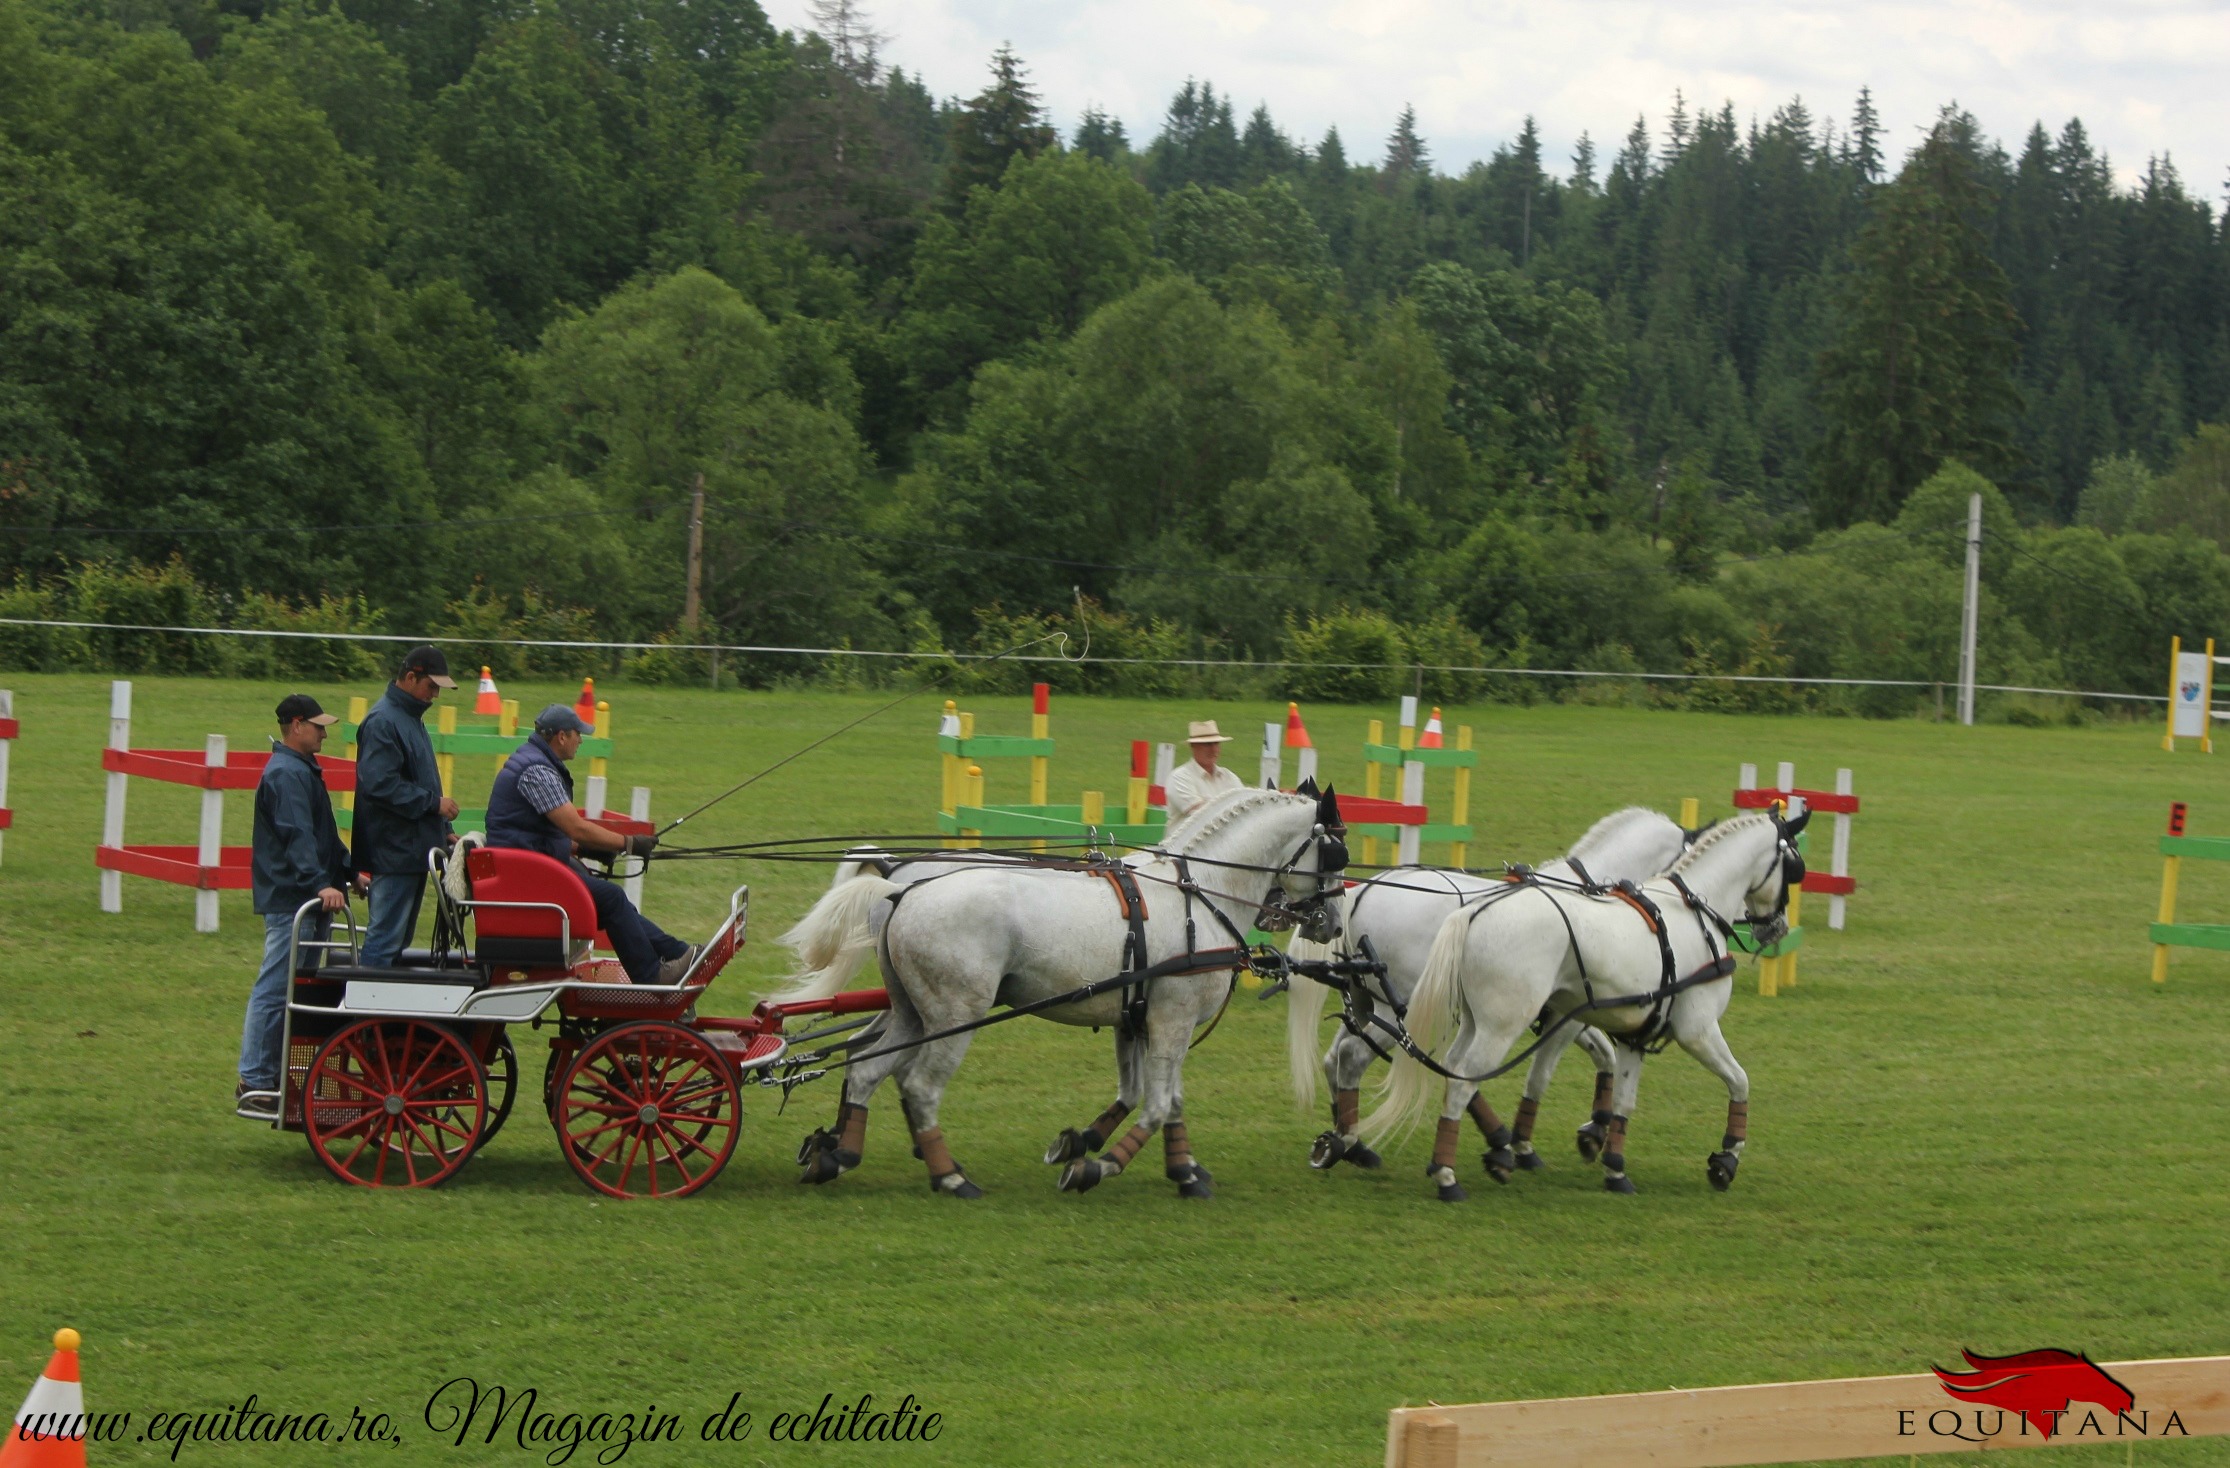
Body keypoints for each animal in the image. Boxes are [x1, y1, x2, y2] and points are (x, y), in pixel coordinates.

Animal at [784, 785, 1338, 1195]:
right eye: (1336, 851)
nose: (1330, 921)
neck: (1197, 894)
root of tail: (900, 887)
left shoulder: (1140, 1020)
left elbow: (1161, 1098)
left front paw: (1181, 1169)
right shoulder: (1173, 1021)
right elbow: (1158, 1104)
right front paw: (1095, 1166)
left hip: (911, 1011)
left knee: (866, 1064)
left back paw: (840, 1153)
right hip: (955, 1014)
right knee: (917, 1084)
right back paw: (950, 1176)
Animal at [1275, 807, 1685, 1195]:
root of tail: (1364, 892)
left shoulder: (1566, 1011)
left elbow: (1604, 1055)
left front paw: (1593, 1130)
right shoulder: (1566, 1016)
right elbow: (1556, 1069)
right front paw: (1532, 1144)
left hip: (1367, 1006)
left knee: (1336, 1059)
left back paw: (1353, 1143)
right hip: (1398, 1009)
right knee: (1356, 1058)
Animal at [1355, 807, 1810, 1195]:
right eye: (1795, 867)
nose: (1775, 930)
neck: (1689, 911)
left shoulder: (1630, 1033)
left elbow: (1622, 1096)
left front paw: (1612, 1163)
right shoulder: (1694, 1030)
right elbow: (1739, 1081)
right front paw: (1726, 1158)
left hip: (1466, 1019)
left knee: (1437, 1069)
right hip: (1493, 1024)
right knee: (1457, 1080)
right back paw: (1446, 1175)